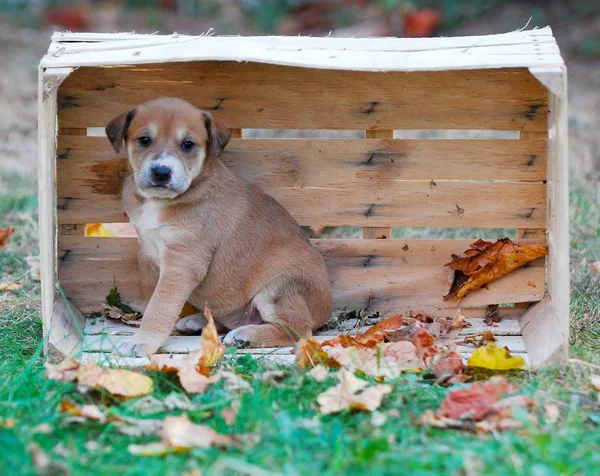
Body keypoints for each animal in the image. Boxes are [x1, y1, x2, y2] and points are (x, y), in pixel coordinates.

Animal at [106, 97, 332, 356]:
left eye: (187, 144)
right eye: (144, 140)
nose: (161, 172)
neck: (160, 201)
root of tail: (326, 311)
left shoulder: (182, 264)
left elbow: (159, 306)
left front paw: (141, 341)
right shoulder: (146, 251)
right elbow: (149, 295)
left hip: (279, 288)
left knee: (299, 330)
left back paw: (244, 336)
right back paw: (199, 321)